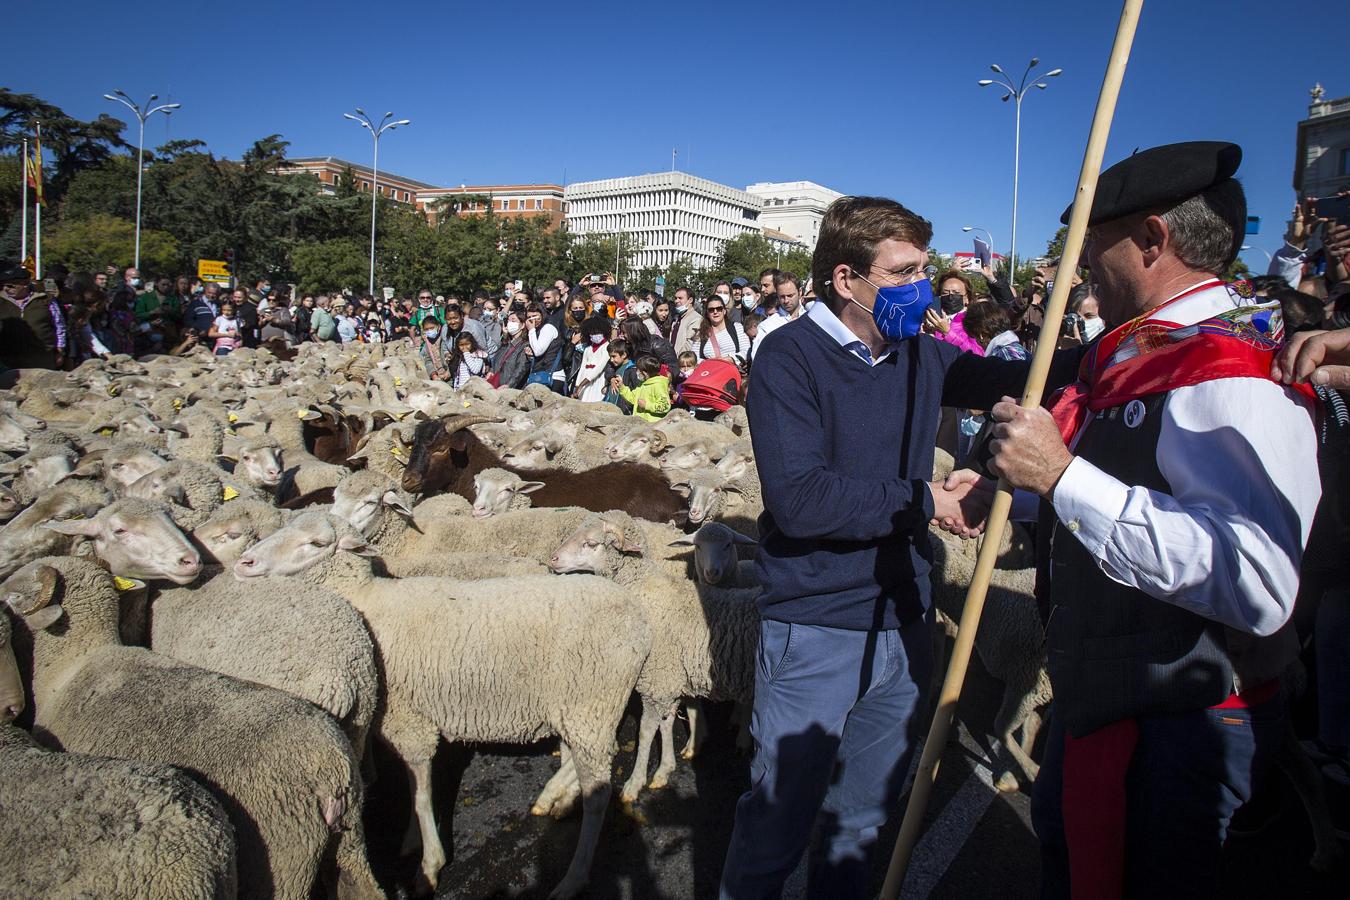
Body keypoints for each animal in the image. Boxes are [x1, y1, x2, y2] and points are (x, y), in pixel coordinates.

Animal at [236, 510, 653, 895]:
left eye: (316, 544)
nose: (244, 563)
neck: (367, 604)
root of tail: (637, 614)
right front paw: (411, 840)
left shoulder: (409, 722)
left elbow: (420, 795)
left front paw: (429, 865)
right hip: (577, 706)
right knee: (580, 754)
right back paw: (556, 796)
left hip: (591, 704)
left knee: (598, 792)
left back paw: (572, 878)